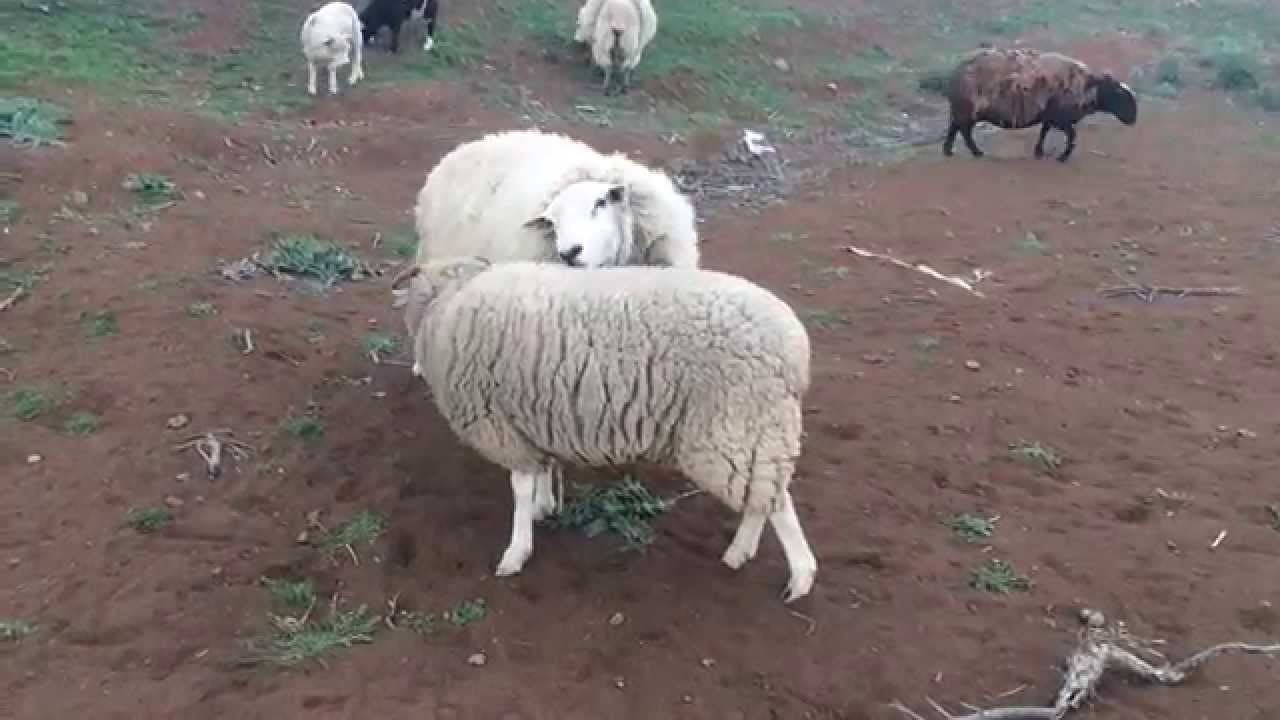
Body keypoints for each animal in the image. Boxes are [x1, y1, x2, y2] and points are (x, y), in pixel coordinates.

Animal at [390, 256, 819, 603]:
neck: (450, 302)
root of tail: (796, 347)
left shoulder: (502, 427)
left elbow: (520, 489)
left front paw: (517, 550)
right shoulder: (536, 419)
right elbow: (543, 472)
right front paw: (545, 507)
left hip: (736, 426)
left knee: (776, 503)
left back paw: (799, 576)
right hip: (752, 430)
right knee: (762, 498)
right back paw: (740, 552)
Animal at [942, 46, 1137, 162]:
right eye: (1120, 94)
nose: (1133, 120)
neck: (1086, 86)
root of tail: (955, 72)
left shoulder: (1050, 116)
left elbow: (1044, 131)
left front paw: (1039, 152)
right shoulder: (1061, 118)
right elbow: (1072, 136)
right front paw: (1063, 157)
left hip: (964, 109)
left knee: (955, 127)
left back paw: (949, 150)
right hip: (967, 108)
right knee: (963, 130)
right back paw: (975, 152)